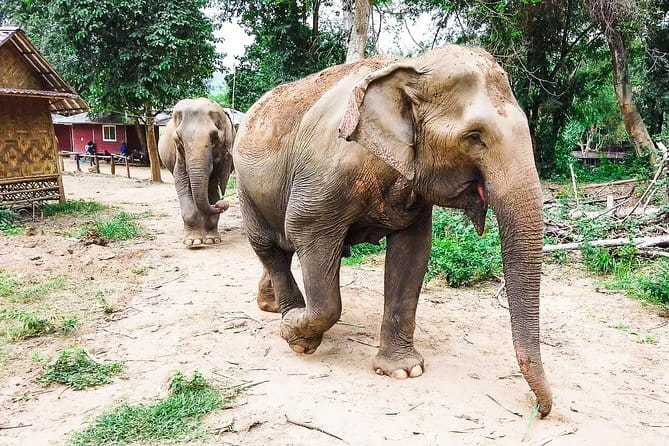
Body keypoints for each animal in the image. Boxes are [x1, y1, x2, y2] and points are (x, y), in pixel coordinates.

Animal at [159, 98, 234, 246]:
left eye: (214, 137)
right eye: (178, 138)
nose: (222, 204)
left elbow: (213, 187)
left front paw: (212, 240)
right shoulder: (179, 156)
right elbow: (181, 181)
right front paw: (194, 242)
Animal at [233, 45, 552, 416]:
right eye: (475, 137)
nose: (540, 410)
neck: (413, 67)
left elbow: (412, 252)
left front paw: (403, 371)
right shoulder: (322, 177)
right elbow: (306, 234)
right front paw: (295, 336)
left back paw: (271, 306)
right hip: (245, 188)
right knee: (271, 248)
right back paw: (287, 314)